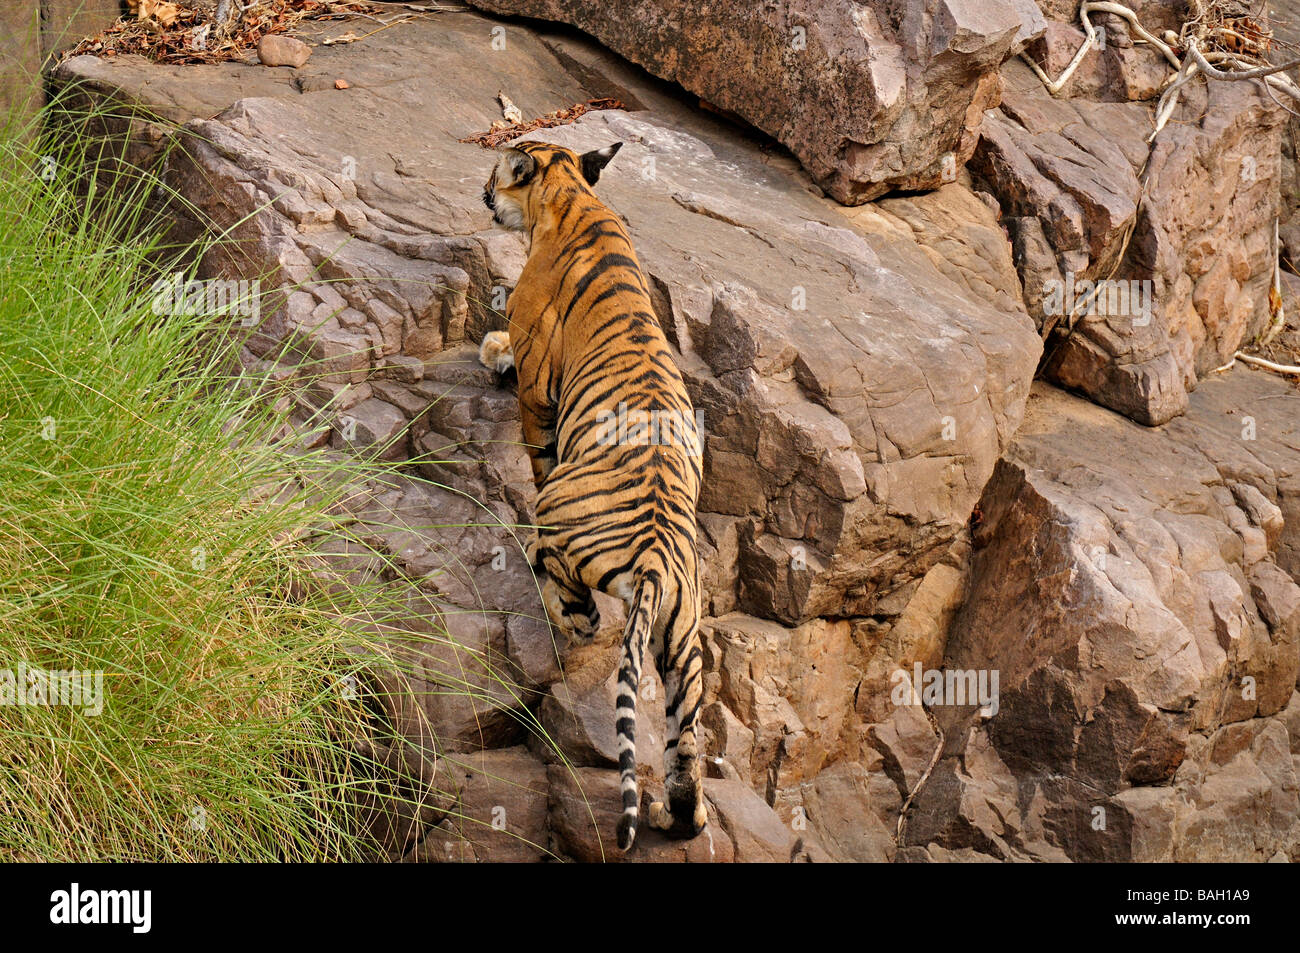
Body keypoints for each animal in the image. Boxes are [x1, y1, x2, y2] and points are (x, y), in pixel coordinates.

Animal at [478, 139, 707, 847]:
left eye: (497, 172)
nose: (482, 194)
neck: (573, 194)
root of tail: (658, 556)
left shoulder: (536, 394)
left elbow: (534, 446)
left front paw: (491, 350)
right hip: (684, 642)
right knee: (687, 748)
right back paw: (675, 816)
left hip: (564, 518)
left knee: (575, 607)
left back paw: (552, 610)